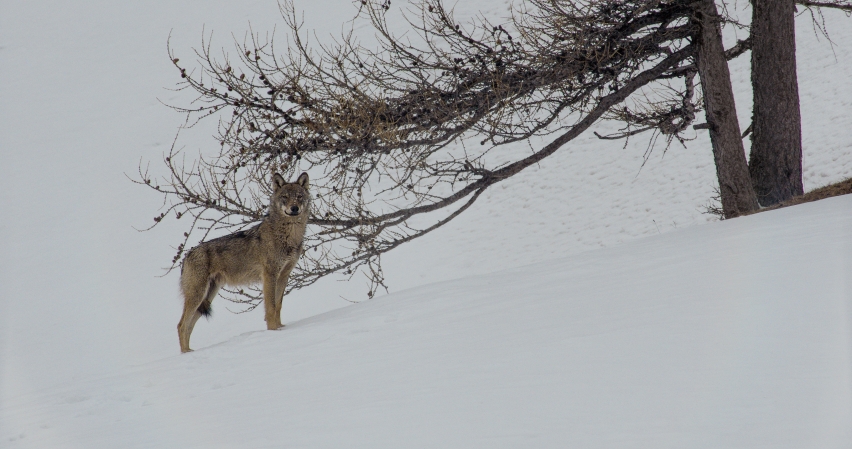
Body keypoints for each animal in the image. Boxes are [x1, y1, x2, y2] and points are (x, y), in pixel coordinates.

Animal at [176, 173, 310, 352]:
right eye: (285, 197)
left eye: (299, 197)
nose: (294, 208)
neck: (288, 236)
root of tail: (187, 255)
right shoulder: (269, 275)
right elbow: (271, 308)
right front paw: (273, 332)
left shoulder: (284, 275)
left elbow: (279, 306)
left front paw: (281, 328)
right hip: (198, 296)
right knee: (181, 325)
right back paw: (186, 353)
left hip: (207, 297)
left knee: (188, 326)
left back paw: (190, 352)